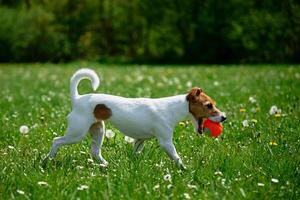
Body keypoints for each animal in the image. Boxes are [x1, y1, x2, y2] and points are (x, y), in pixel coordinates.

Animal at [45, 69, 226, 169]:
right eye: (209, 105)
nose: (224, 117)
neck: (172, 108)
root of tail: (77, 99)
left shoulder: (140, 140)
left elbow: (135, 153)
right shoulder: (165, 142)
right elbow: (176, 157)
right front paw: (185, 169)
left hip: (98, 130)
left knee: (95, 151)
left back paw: (106, 165)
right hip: (76, 133)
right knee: (56, 141)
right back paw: (47, 160)